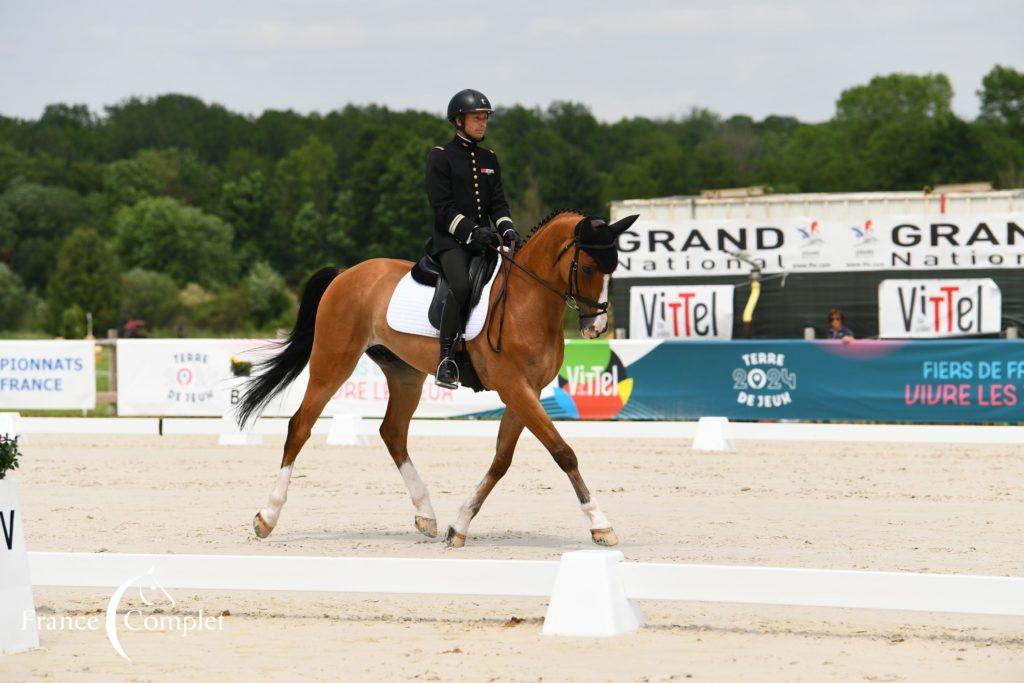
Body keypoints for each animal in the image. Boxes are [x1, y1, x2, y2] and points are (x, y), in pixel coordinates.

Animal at [239, 210, 638, 548]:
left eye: (614, 267)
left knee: (393, 432)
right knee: (300, 426)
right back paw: (267, 517)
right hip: (333, 362)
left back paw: (426, 515)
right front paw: (600, 523)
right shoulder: (515, 388)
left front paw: (458, 525)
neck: (528, 301)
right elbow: (562, 451)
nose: (596, 327)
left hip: (404, 374)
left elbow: (501, 460)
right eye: (589, 267)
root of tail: (345, 273)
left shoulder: (527, 391)